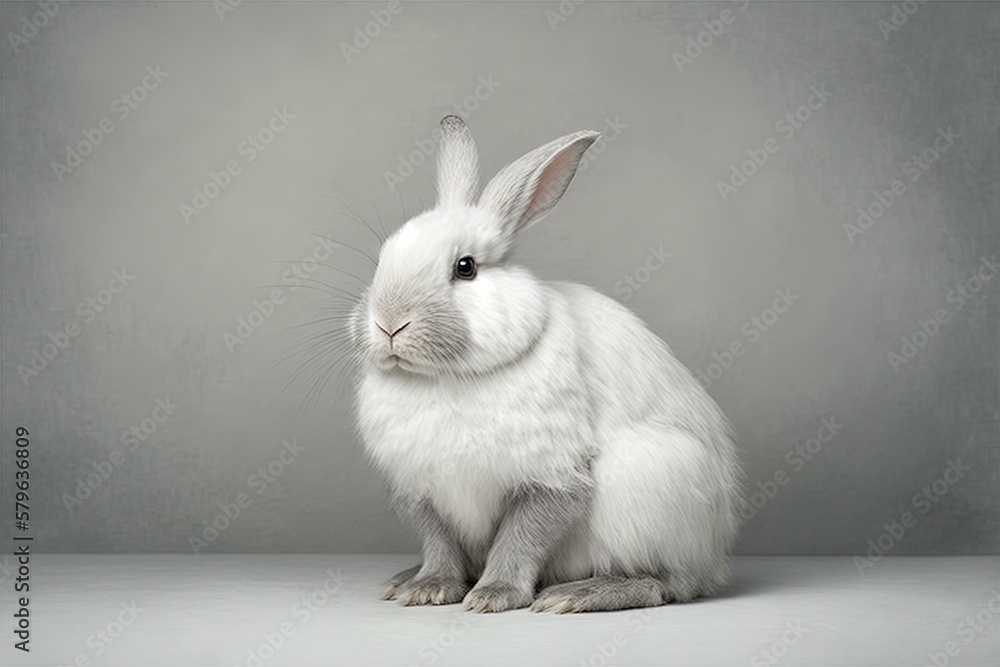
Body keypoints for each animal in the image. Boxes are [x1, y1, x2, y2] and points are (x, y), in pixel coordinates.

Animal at [352, 115, 744, 616]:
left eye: (465, 267)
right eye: (382, 258)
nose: (388, 323)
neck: (447, 378)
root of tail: (715, 560)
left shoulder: (552, 479)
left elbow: (521, 539)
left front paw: (493, 596)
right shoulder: (422, 491)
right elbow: (439, 544)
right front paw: (429, 588)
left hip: (654, 483)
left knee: (666, 584)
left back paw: (577, 594)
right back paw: (403, 578)